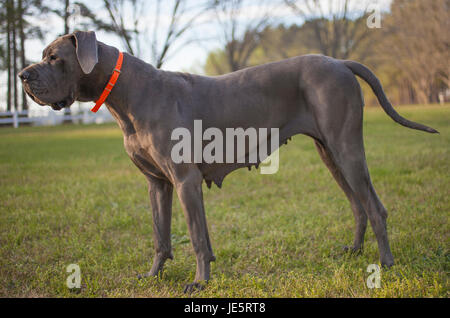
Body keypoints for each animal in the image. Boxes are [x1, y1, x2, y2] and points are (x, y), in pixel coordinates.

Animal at [19, 31, 438, 292]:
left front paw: (200, 281)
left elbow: (196, 236)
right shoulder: (158, 184)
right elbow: (161, 237)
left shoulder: (185, 180)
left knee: (376, 207)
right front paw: (153, 276)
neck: (128, 92)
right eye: (43, 57)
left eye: (55, 58)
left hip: (347, 148)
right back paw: (353, 251)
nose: (22, 75)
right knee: (358, 205)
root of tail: (339, 61)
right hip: (330, 152)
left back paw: (385, 265)